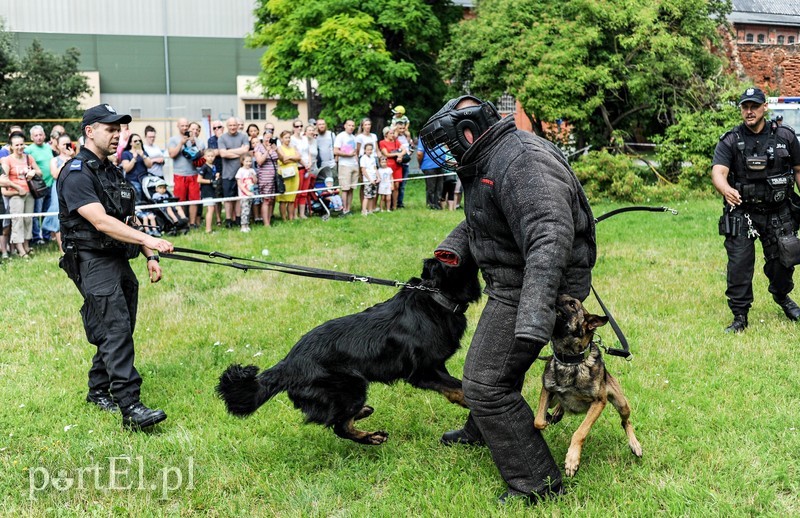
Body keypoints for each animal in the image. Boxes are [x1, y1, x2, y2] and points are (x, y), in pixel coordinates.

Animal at [216, 260, 482, 446]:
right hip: (352, 385)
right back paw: (371, 437)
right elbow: (459, 388)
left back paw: (363, 415)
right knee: (339, 426)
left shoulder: (437, 367)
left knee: (338, 419)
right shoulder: (423, 372)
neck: (436, 297)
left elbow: (456, 386)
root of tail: (288, 363)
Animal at [536, 294, 640, 478]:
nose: (556, 294)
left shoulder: (599, 402)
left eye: (572, 304)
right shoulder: (547, 390)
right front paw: (547, 419)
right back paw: (557, 412)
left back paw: (635, 444)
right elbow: (538, 421)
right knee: (559, 404)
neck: (570, 361)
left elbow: (580, 432)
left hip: (622, 404)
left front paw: (572, 460)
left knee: (626, 422)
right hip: (554, 399)